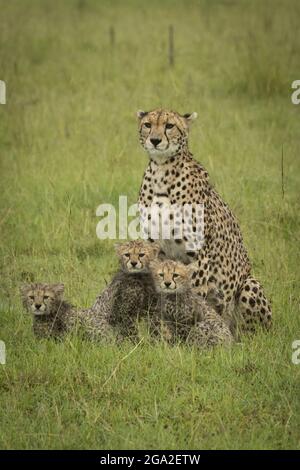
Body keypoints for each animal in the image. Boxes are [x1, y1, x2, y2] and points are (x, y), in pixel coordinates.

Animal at [137, 108, 274, 332]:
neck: (162, 170)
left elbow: (194, 294)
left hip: (248, 285)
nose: (155, 140)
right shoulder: (155, 250)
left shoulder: (198, 255)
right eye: (148, 124)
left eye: (169, 126)